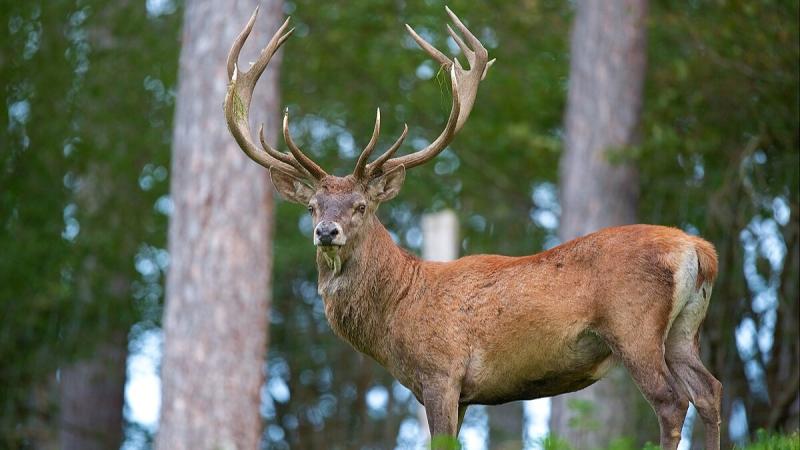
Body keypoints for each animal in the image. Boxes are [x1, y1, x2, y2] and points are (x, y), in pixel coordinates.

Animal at [223, 7, 722, 450]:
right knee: (710, 391)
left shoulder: (441, 374)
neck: (398, 310)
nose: (327, 231)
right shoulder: (460, 393)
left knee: (671, 402)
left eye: (360, 205)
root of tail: (700, 250)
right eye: (312, 206)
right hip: (683, 331)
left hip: (633, 326)